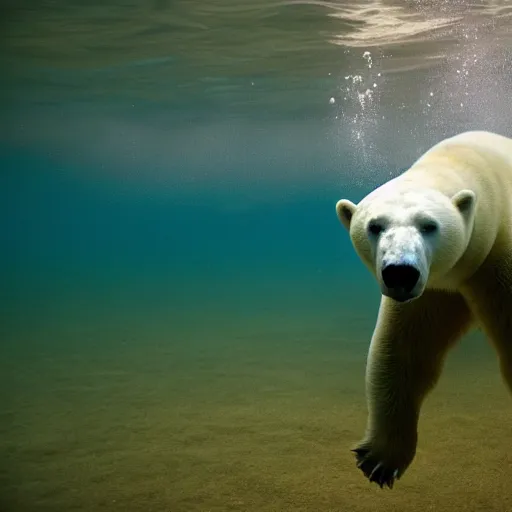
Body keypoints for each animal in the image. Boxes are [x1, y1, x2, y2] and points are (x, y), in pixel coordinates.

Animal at [334, 131, 512, 488]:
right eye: (375, 226)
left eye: (429, 225)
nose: (400, 273)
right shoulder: (434, 288)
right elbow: (403, 352)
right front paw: (381, 458)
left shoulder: (496, 262)